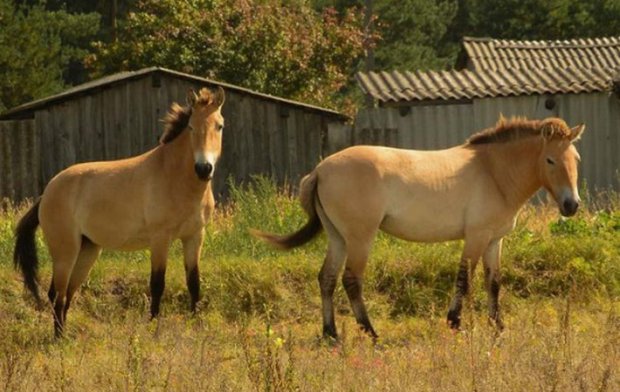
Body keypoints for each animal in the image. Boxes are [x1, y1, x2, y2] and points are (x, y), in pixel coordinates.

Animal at [14, 87, 225, 336]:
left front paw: (196, 326)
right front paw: (153, 329)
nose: (203, 169)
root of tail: (47, 192)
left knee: (65, 295)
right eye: (191, 126)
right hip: (65, 253)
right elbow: (157, 284)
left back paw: (66, 337)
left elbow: (194, 283)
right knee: (58, 294)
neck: (175, 178)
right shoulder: (160, 239)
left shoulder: (194, 236)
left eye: (219, 126)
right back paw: (59, 339)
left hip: (87, 251)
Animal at [252, 117, 580, 340]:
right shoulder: (476, 237)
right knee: (351, 280)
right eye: (550, 159)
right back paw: (371, 333)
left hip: (338, 238)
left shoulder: (493, 240)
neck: (493, 172)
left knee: (327, 279)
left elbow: (493, 283)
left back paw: (330, 333)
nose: (571, 205)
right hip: (360, 238)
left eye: (575, 158)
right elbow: (464, 280)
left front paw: (498, 327)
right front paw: (455, 323)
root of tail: (320, 170)